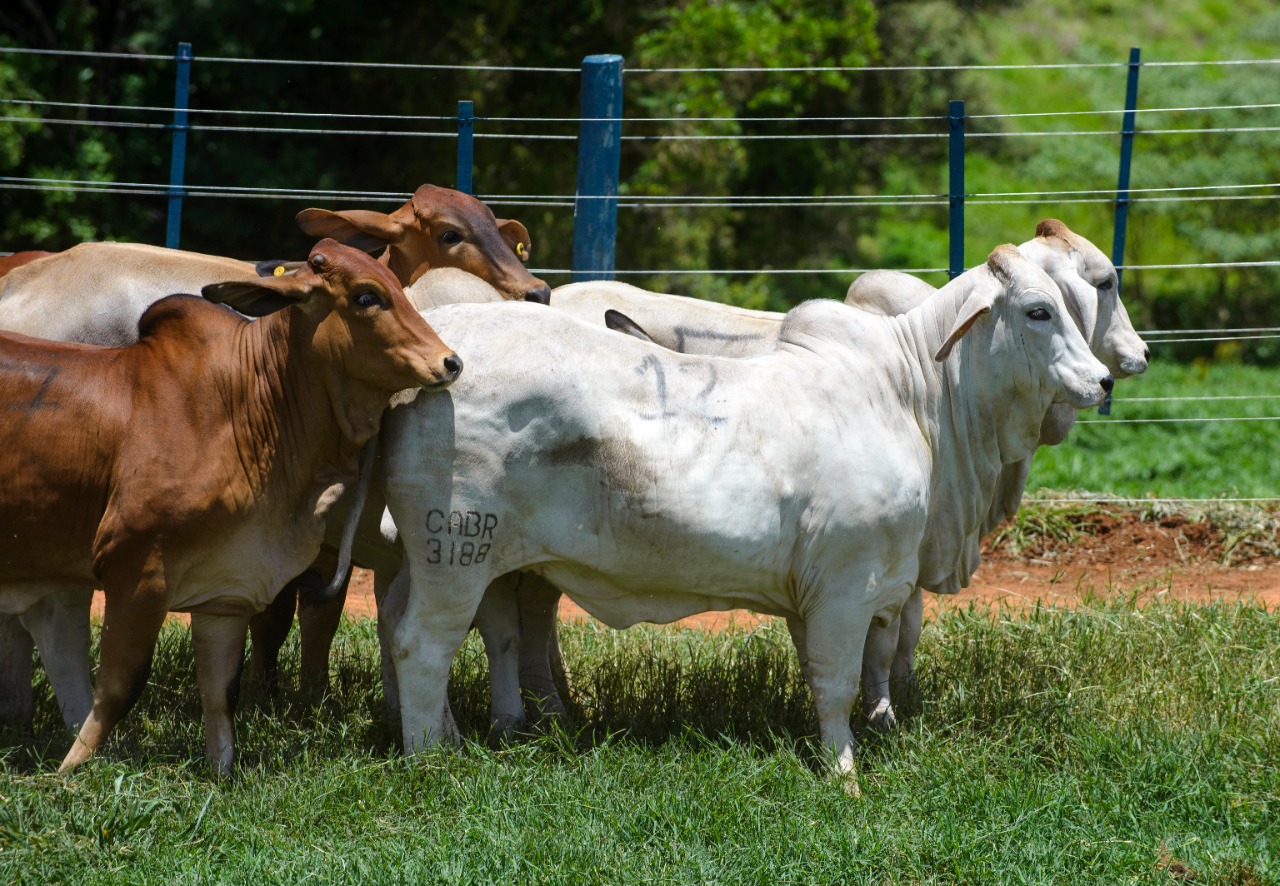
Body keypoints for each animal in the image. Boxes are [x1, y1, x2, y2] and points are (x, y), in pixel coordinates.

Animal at [0, 239, 460, 773]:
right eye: (367, 297)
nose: (450, 362)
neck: (246, 405)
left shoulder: (227, 591)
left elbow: (222, 692)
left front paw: (223, 772)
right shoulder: (137, 569)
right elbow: (119, 687)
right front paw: (67, 772)